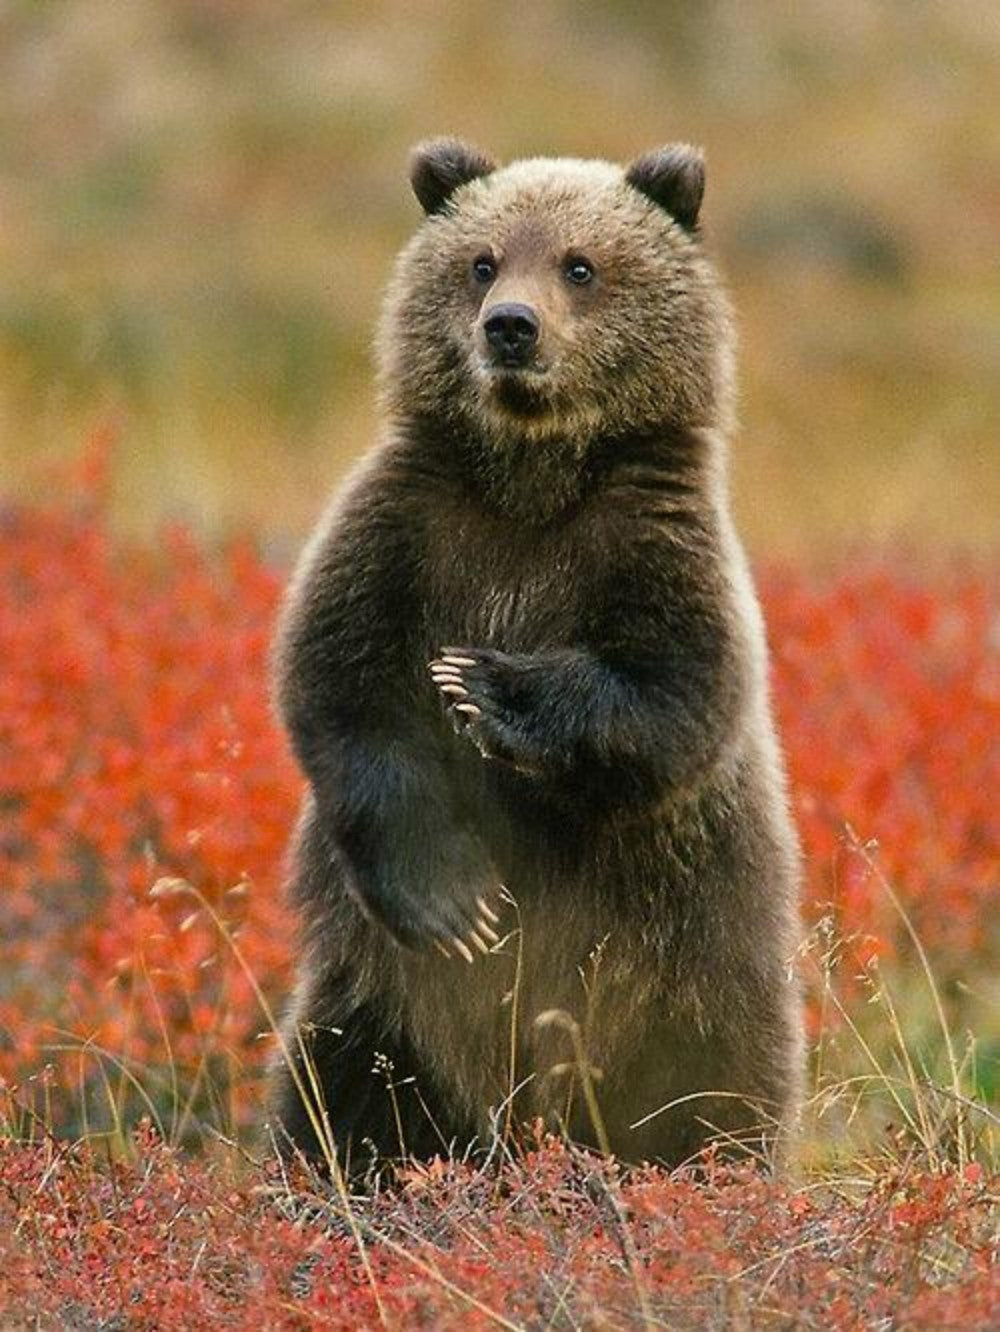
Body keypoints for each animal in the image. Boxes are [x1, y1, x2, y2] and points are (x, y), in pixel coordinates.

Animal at [268, 138, 803, 1175]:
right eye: (481, 261)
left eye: (580, 265)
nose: (510, 327)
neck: (530, 478)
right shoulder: (405, 527)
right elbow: (344, 692)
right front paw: (457, 906)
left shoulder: (652, 541)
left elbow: (675, 701)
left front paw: (489, 687)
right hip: (378, 1001)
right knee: (345, 1086)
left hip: (701, 966)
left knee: (719, 1095)